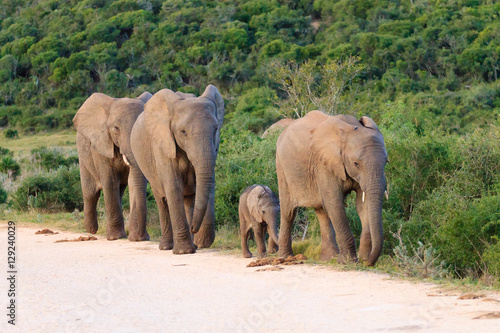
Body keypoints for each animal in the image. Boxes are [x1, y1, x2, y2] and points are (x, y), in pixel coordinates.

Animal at [73, 91, 152, 241]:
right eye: (116, 128)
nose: (143, 236)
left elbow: (133, 182)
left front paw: (136, 239)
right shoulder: (101, 146)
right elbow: (110, 182)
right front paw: (115, 237)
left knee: (119, 191)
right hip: (83, 155)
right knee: (90, 193)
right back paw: (91, 230)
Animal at [133, 84, 227, 253]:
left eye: (216, 129)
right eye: (183, 132)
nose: (193, 228)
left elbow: (205, 184)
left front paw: (197, 243)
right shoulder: (163, 145)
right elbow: (173, 187)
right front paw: (183, 251)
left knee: (188, 200)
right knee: (162, 201)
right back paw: (166, 247)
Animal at [276, 110, 388, 266]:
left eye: (386, 162)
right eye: (356, 164)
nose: (367, 263)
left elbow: (362, 203)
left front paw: (363, 259)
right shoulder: (323, 163)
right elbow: (335, 203)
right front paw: (348, 261)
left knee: (322, 211)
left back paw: (329, 258)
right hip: (282, 168)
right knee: (289, 212)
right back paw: (285, 257)